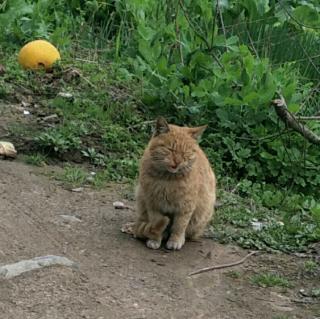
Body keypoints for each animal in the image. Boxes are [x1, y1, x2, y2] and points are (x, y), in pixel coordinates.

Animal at [131, 116, 216, 251]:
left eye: (186, 153)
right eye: (170, 149)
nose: (177, 162)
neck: (168, 180)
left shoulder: (185, 207)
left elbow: (179, 226)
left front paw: (175, 240)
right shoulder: (153, 204)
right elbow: (156, 221)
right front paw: (155, 239)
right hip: (141, 197)